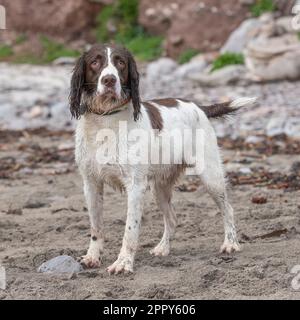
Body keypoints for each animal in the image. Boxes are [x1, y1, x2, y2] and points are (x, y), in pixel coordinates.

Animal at [69, 43, 256, 276]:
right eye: (95, 62)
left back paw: (230, 243)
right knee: (173, 219)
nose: (109, 80)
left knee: (227, 209)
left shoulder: (135, 186)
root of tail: (198, 107)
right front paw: (92, 257)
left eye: (120, 62)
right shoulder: (91, 183)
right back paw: (162, 248)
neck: (106, 120)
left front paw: (123, 262)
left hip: (211, 177)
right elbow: (96, 227)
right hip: (160, 187)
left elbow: (130, 230)